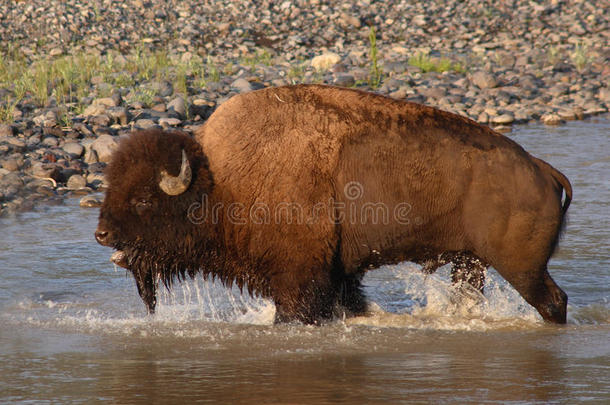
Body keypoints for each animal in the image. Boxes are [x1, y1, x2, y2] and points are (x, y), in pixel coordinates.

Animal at [95, 83, 568, 324]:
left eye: (142, 199)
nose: (101, 234)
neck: (219, 182)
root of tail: (542, 169)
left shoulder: (299, 280)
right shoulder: (338, 275)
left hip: (522, 268)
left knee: (553, 301)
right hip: (470, 263)